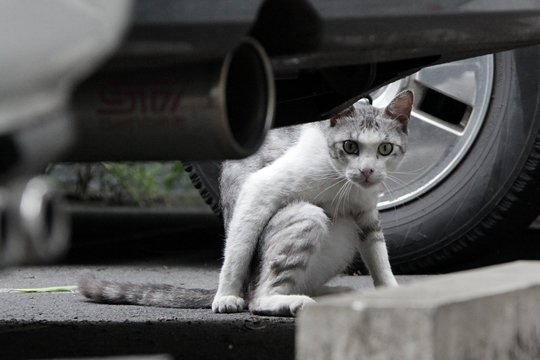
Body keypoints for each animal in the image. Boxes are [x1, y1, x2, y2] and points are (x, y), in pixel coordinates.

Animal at [78, 90, 414, 318]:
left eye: (385, 149)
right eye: (350, 146)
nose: (367, 171)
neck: (345, 185)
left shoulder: (366, 215)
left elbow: (380, 258)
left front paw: (394, 293)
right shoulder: (260, 188)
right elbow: (237, 249)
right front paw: (225, 296)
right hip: (306, 216)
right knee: (258, 296)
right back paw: (283, 300)